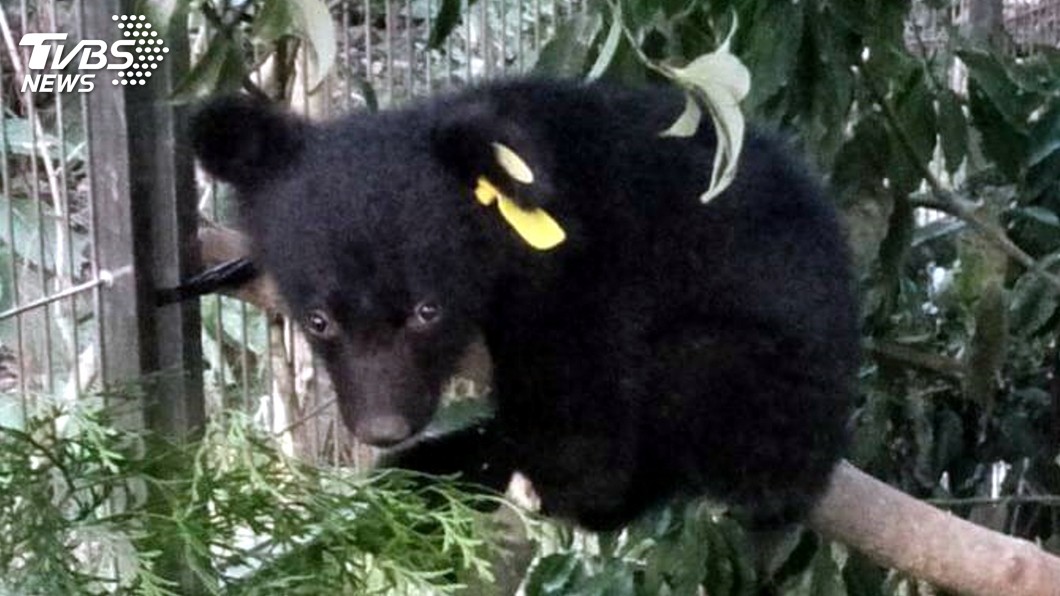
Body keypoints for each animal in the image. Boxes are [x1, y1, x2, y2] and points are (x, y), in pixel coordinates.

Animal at [190, 78, 859, 532]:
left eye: (427, 311)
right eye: (319, 320)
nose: (384, 428)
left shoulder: (591, 277)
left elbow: (580, 444)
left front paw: (434, 470)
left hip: (760, 380)